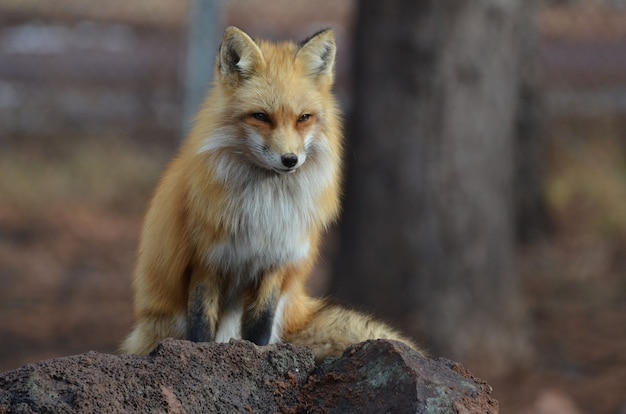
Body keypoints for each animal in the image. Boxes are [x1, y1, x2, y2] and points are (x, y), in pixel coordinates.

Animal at [119, 26, 422, 362]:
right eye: (261, 117)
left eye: (304, 118)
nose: (290, 159)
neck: (265, 207)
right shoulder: (205, 261)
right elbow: (201, 326)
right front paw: (198, 353)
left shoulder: (276, 259)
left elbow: (259, 326)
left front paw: (259, 355)